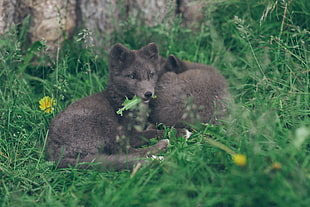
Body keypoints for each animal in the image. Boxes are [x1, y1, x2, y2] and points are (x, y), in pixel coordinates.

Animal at [46, 42, 168, 171]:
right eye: (131, 76)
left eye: (151, 74)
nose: (148, 93)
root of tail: (55, 156)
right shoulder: (129, 133)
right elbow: (152, 133)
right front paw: (172, 132)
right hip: (108, 128)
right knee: (129, 153)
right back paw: (160, 150)